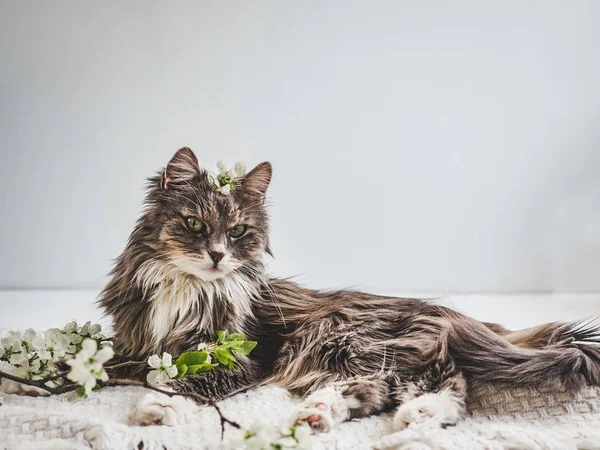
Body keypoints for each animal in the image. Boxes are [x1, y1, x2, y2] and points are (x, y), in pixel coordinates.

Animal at [101, 148, 600, 432]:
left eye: (239, 231)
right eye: (195, 225)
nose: (218, 255)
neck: (188, 288)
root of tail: (444, 312)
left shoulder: (241, 356)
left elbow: (182, 380)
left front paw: (157, 406)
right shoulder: (135, 344)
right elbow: (122, 364)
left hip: (345, 337)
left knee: (448, 383)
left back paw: (419, 417)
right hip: (352, 350)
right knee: (378, 390)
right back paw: (319, 413)